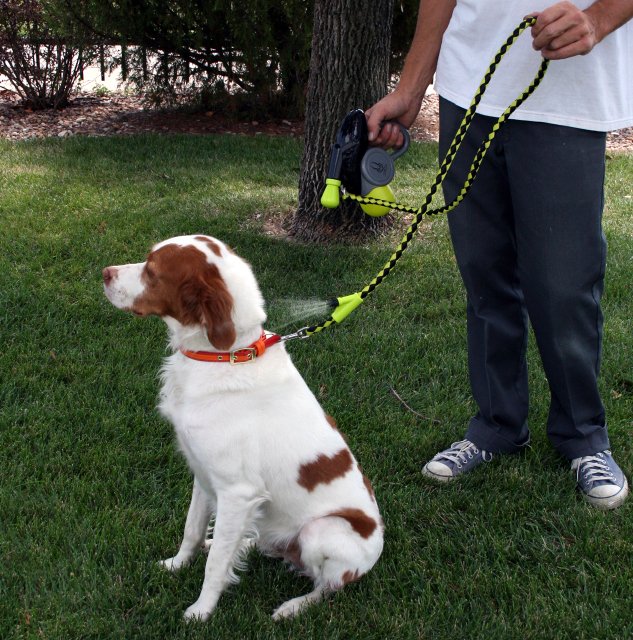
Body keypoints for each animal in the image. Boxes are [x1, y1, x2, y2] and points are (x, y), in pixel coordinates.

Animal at [101, 235, 382, 620]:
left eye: (152, 272)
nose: (105, 273)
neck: (225, 354)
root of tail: (377, 551)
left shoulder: (238, 491)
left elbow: (217, 565)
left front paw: (201, 611)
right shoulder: (204, 473)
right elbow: (192, 529)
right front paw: (177, 564)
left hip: (322, 530)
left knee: (328, 586)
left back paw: (292, 606)